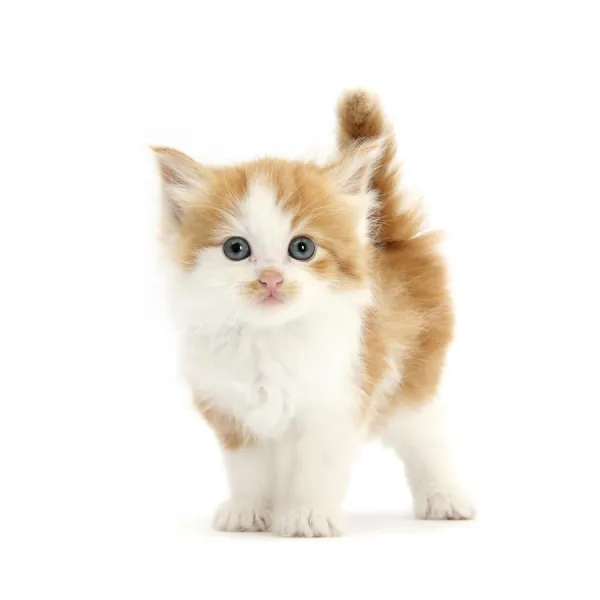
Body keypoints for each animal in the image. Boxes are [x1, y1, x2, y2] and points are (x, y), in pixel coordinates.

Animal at [152, 90, 476, 540]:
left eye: (302, 248)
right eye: (236, 249)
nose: (270, 279)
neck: (269, 338)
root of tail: (385, 236)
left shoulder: (338, 401)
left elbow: (316, 468)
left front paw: (308, 515)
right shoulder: (232, 413)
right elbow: (248, 469)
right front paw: (249, 511)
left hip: (413, 376)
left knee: (427, 437)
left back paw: (444, 498)